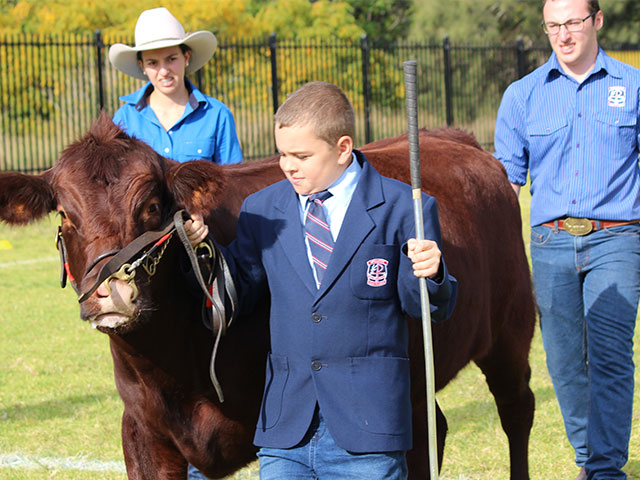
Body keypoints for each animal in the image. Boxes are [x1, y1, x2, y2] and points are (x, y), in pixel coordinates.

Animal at [0, 114, 536, 478]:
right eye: (64, 214)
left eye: (151, 206)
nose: (112, 293)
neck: (171, 363)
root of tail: (455, 138)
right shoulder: (144, 433)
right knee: (433, 430)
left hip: (512, 329)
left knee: (516, 410)